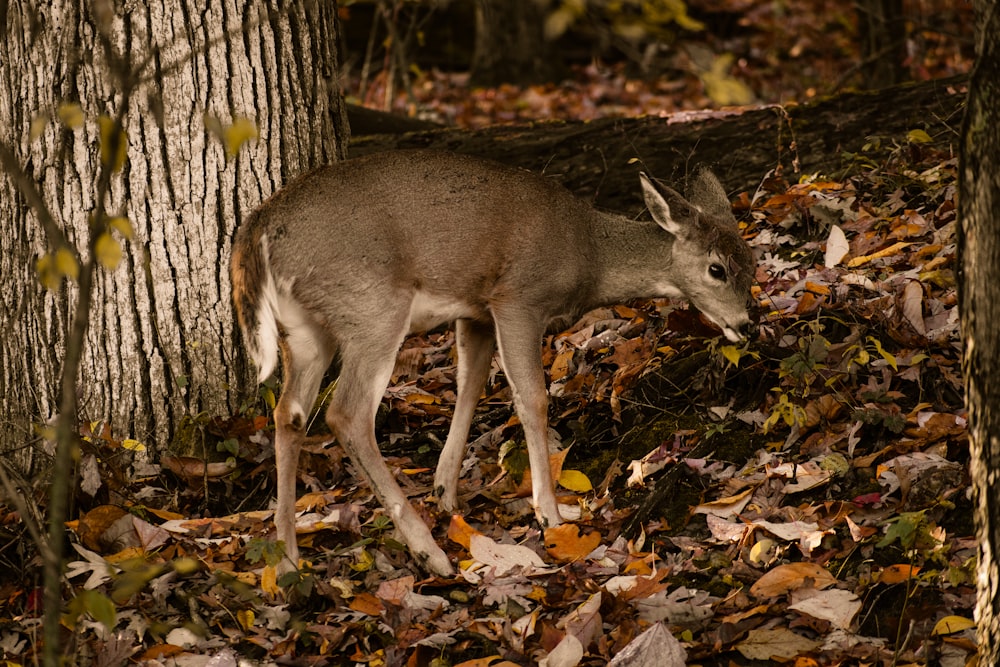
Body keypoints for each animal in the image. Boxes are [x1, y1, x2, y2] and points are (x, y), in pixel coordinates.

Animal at [230, 149, 752, 576]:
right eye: (716, 269)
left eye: (750, 261)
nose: (747, 323)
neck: (590, 256)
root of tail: (257, 230)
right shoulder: (518, 297)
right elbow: (532, 397)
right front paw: (551, 513)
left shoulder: (476, 310)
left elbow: (472, 382)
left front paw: (445, 490)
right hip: (372, 306)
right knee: (347, 414)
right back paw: (430, 554)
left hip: (305, 328)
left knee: (289, 413)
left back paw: (288, 557)